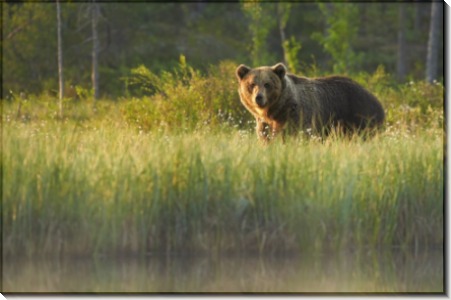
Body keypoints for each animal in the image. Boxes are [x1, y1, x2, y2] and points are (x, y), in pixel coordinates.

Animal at [237, 62, 384, 142]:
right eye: (252, 84)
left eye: (267, 84)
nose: (259, 97)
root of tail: (377, 100)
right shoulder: (264, 123)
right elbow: (266, 137)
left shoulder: (298, 115)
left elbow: (299, 135)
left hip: (359, 115)